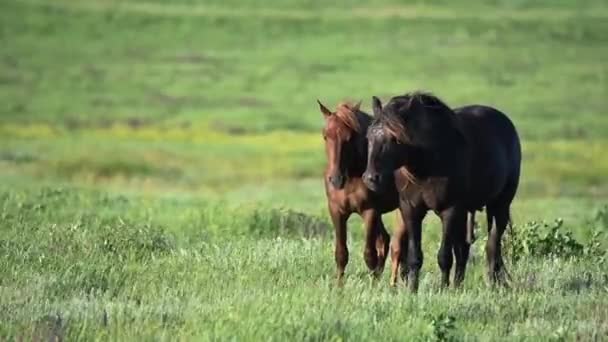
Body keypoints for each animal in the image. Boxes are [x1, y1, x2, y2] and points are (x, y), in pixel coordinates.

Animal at [318, 99, 404, 284]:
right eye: (325, 135)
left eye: (349, 138)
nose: (336, 179)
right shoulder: (336, 211)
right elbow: (341, 253)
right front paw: (339, 286)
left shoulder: (369, 211)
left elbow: (369, 254)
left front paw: (371, 286)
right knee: (385, 241)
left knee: (396, 247)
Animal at [364, 91, 520, 292]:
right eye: (369, 137)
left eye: (395, 138)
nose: (371, 178)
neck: (426, 164)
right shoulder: (410, 209)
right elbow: (415, 256)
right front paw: (412, 290)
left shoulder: (450, 210)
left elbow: (444, 256)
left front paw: (443, 289)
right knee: (463, 250)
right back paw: (459, 285)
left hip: (500, 205)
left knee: (492, 245)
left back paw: (492, 284)